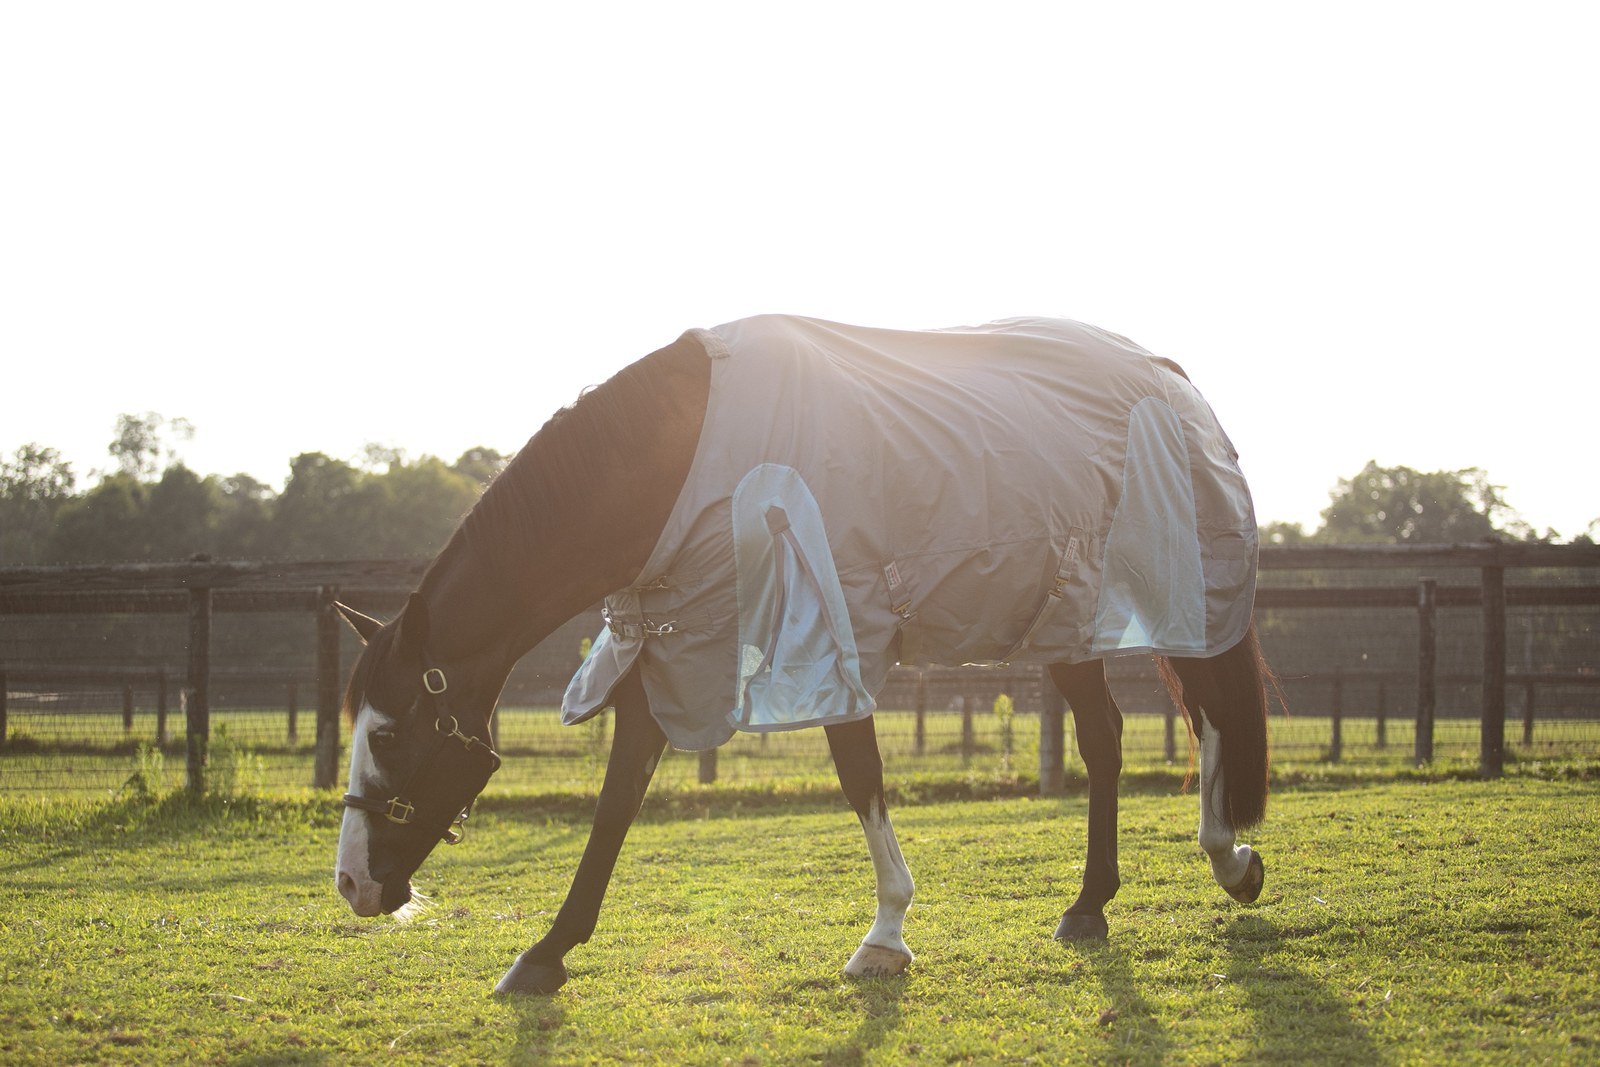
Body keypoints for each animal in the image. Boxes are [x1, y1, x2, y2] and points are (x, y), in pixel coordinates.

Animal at [332, 315, 1272, 996]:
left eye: (388, 735)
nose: (351, 886)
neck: (679, 467)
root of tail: (1169, 374)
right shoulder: (673, 646)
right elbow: (616, 802)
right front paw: (546, 952)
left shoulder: (829, 632)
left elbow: (860, 777)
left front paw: (885, 934)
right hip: (1066, 614)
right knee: (1106, 738)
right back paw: (1089, 905)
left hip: (1173, 593)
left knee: (1210, 714)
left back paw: (1229, 858)